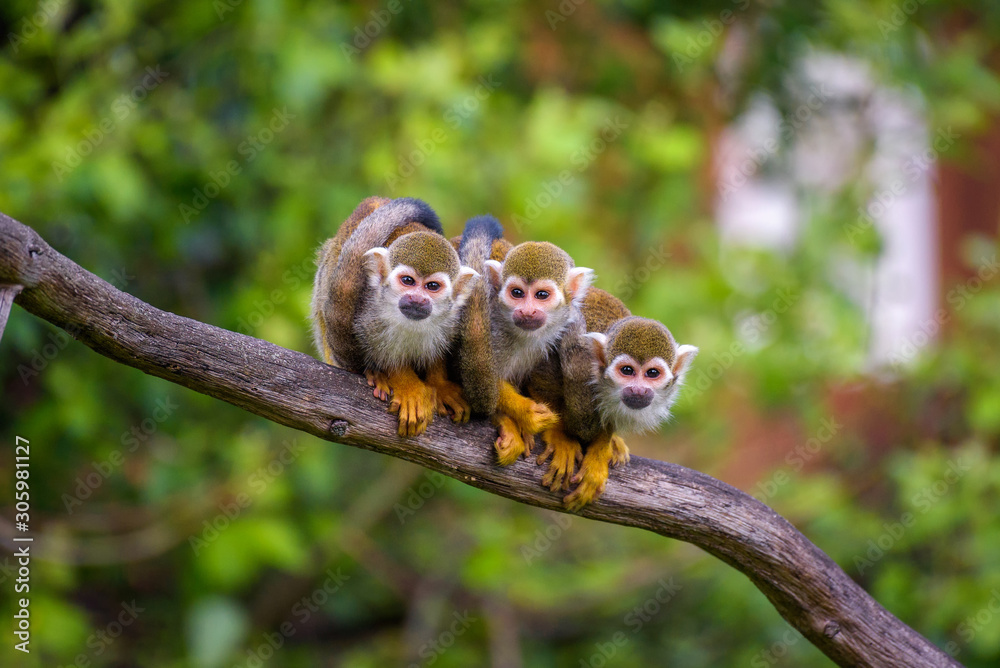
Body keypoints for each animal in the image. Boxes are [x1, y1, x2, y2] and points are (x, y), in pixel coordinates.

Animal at [311, 196, 478, 437]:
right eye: (407, 281)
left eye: (432, 286)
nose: (417, 299)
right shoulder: (368, 311)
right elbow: (380, 352)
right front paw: (406, 385)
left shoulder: (455, 316)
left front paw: (439, 384)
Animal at [530, 288, 698, 509]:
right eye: (627, 371)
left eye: (652, 373)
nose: (638, 390)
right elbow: (540, 375)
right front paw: (560, 436)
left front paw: (601, 449)